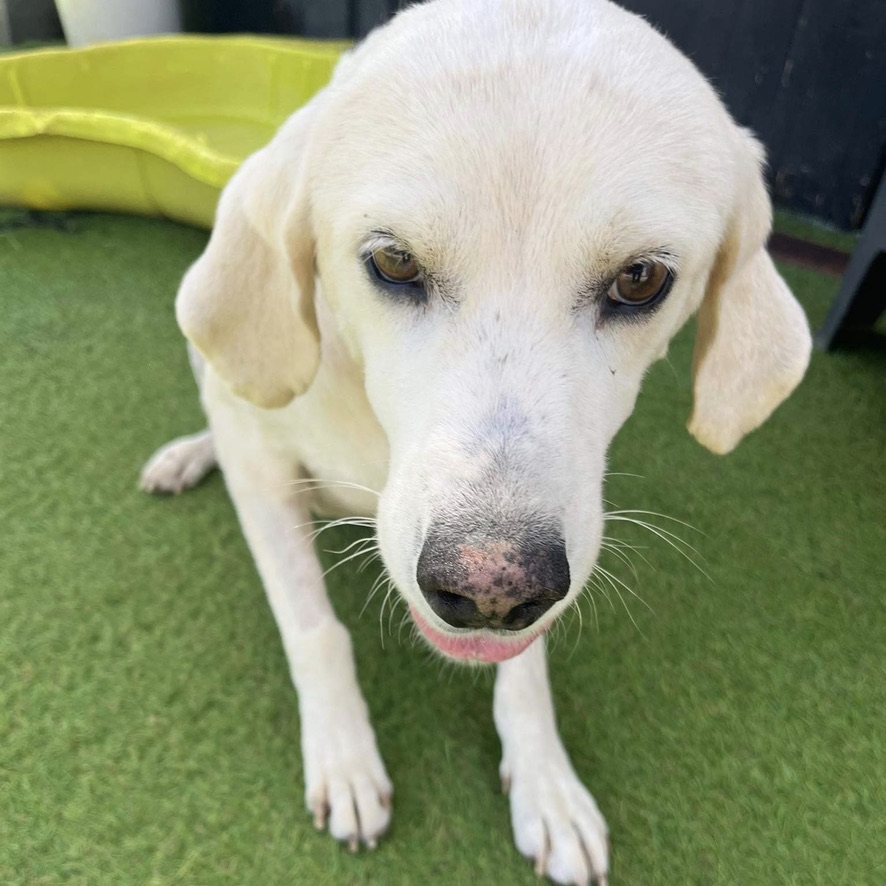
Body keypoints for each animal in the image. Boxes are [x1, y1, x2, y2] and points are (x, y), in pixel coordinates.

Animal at [142, 3, 816, 884]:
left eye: (641, 279)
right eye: (394, 261)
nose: (490, 587)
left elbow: (524, 668)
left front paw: (545, 781)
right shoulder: (261, 467)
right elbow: (314, 629)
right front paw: (344, 758)